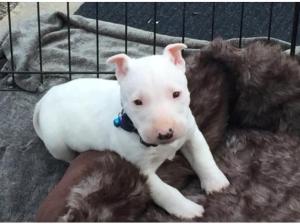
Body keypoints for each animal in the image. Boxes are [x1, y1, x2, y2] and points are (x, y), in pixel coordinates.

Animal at [33, 43, 230, 219]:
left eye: (176, 94)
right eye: (138, 102)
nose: (165, 133)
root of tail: (44, 99)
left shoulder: (191, 132)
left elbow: (202, 156)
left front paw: (216, 183)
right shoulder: (141, 168)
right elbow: (163, 191)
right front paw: (187, 209)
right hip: (57, 144)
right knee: (65, 155)